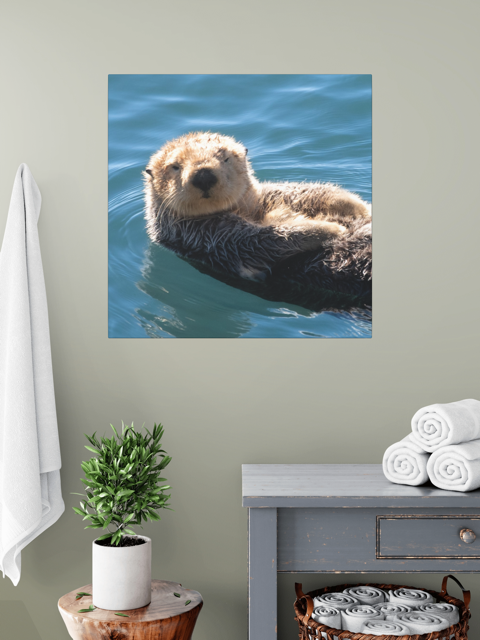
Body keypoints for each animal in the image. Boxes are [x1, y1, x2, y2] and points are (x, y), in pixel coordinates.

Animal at [143, 132, 371, 309]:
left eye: (225, 158)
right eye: (175, 166)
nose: (203, 176)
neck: (243, 211)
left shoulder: (262, 198)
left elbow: (297, 192)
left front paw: (356, 206)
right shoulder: (209, 237)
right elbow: (262, 239)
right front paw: (331, 229)